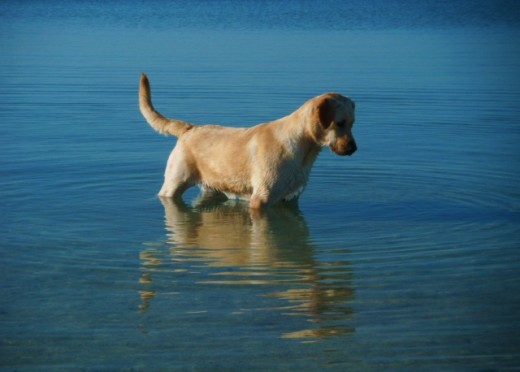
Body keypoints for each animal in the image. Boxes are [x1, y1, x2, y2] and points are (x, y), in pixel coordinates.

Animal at [138, 73, 358, 209]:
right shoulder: (261, 199)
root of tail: (189, 128)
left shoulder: (290, 199)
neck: (304, 148)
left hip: (211, 185)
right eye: (340, 123)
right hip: (173, 184)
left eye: (352, 123)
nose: (353, 149)